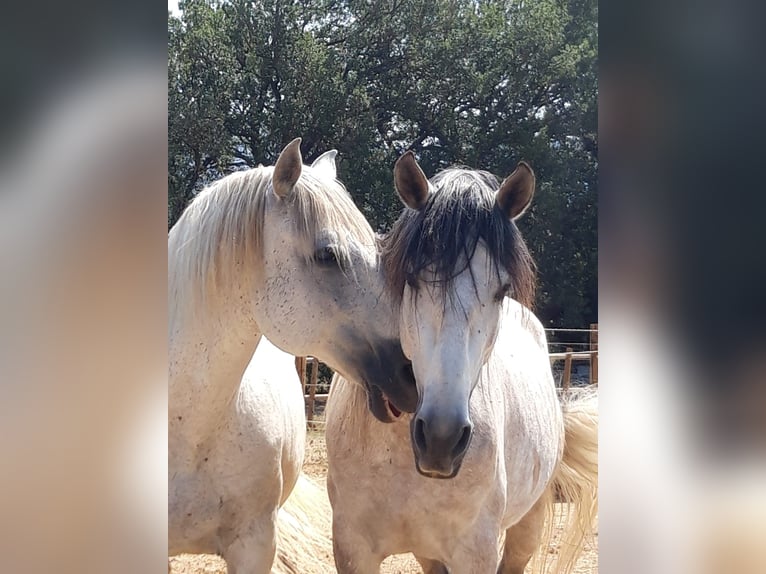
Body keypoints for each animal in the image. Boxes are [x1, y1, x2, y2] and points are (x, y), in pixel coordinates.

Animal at [324, 154, 600, 574]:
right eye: (411, 278)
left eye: (501, 290)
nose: (442, 438)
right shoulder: (353, 550)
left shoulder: (474, 552)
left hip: (528, 525)